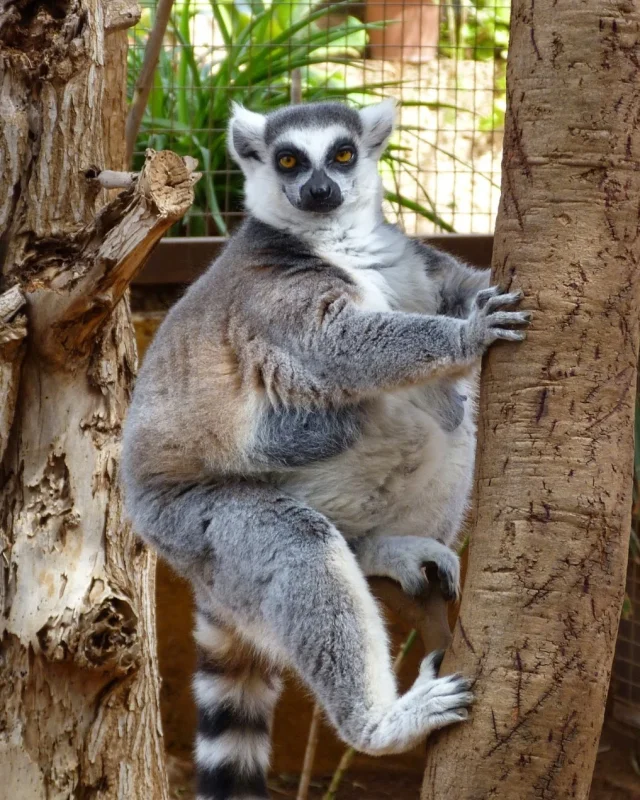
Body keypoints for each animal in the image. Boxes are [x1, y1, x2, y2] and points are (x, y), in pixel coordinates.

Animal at [121, 99, 530, 800]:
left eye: (342, 155)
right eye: (289, 160)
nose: (318, 192)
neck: (338, 242)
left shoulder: (411, 264)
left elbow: (457, 286)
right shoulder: (273, 300)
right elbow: (336, 348)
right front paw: (469, 333)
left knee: (452, 420)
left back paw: (383, 549)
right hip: (192, 520)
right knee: (300, 543)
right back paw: (381, 725)